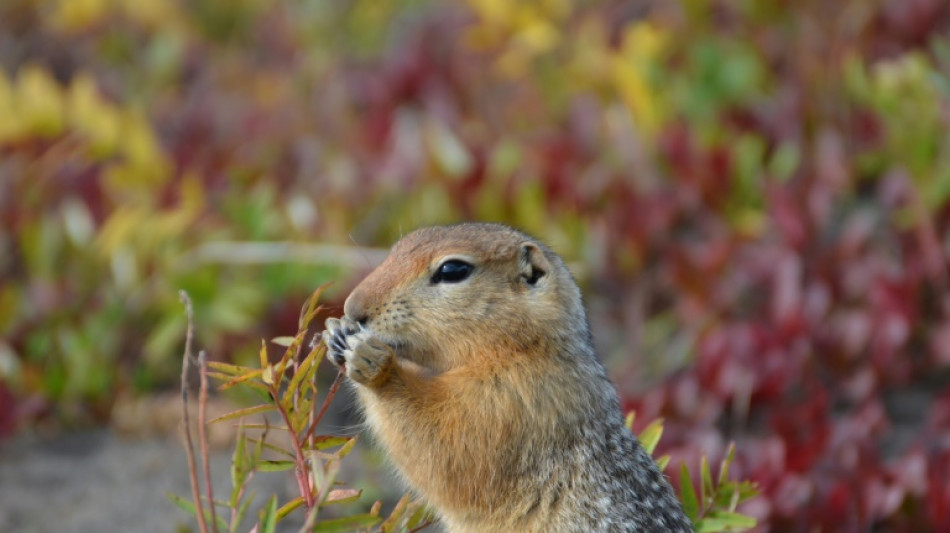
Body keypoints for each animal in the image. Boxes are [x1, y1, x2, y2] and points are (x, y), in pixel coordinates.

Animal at [322, 222, 692, 528]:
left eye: (453, 270)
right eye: (401, 245)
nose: (353, 308)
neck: (524, 348)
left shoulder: (515, 399)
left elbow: (447, 446)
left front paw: (374, 362)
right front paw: (334, 333)